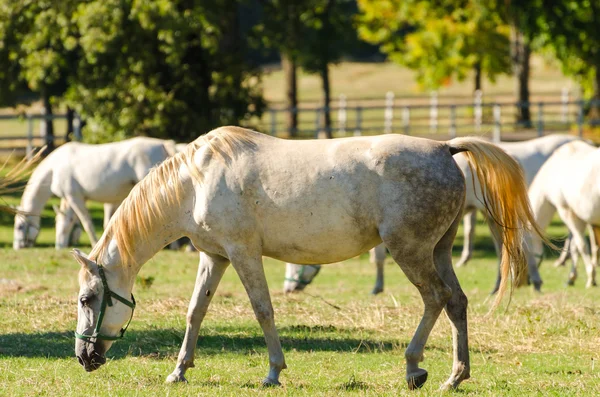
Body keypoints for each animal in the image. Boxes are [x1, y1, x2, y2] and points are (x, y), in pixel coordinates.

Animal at [12, 136, 176, 248]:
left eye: (19, 226)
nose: (17, 247)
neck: (54, 168)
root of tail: (163, 144)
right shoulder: (73, 199)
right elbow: (69, 221)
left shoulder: (75, 198)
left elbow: (86, 223)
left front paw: (94, 243)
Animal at [72, 126, 548, 390]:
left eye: (86, 299)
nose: (83, 357)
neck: (197, 180)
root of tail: (444, 149)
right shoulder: (214, 257)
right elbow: (195, 312)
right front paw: (179, 371)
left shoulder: (243, 254)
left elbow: (263, 310)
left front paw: (273, 372)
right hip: (438, 250)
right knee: (456, 303)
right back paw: (455, 376)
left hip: (409, 251)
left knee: (435, 299)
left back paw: (414, 370)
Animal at [524, 140, 600, 288]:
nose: (525, 280)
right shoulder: (585, 218)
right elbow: (578, 246)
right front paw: (572, 277)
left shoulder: (567, 212)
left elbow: (581, 246)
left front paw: (590, 278)